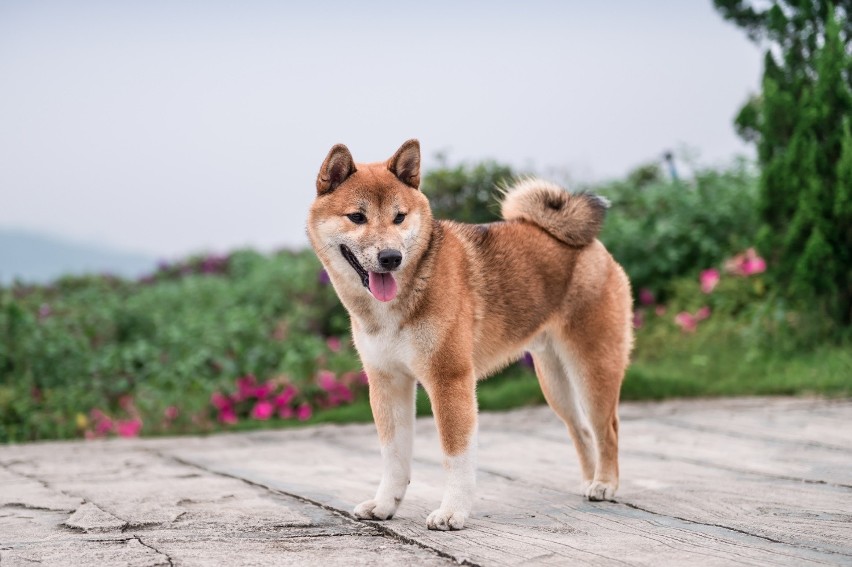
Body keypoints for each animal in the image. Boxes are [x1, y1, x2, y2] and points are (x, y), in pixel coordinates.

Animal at [306, 140, 632, 532]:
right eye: (357, 217)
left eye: (399, 217)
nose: (390, 257)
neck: (405, 293)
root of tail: (591, 246)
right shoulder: (387, 381)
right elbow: (393, 455)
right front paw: (385, 504)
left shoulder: (449, 380)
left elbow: (455, 456)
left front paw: (452, 512)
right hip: (554, 382)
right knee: (581, 430)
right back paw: (589, 480)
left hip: (592, 368)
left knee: (608, 428)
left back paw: (605, 484)